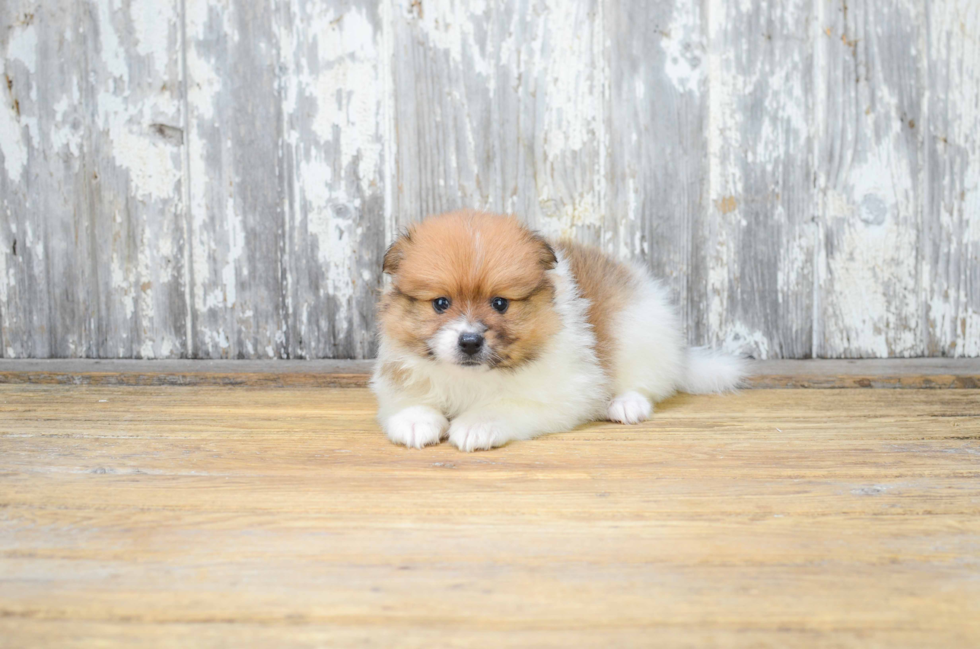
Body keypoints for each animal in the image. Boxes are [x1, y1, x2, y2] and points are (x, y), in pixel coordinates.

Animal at [372, 210, 748, 448]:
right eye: (440, 304)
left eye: (500, 303)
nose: (470, 341)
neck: (472, 377)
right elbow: (407, 399)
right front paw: (415, 420)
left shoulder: (561, 393)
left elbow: (506, 405)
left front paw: (477, 424)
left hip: (638, 331)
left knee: (647, 382)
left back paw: (626, 404)